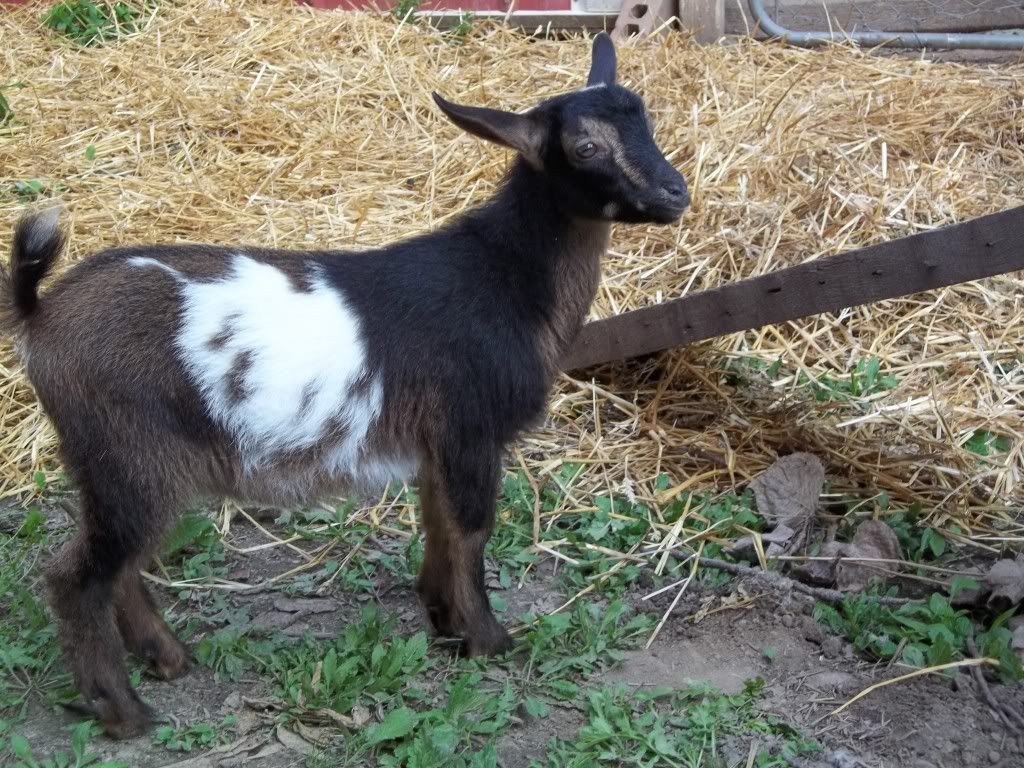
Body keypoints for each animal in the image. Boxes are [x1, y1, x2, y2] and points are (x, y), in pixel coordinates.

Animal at [0, 32, 687, 738]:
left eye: (646, 118)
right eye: (584, 147)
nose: (675, 192)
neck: (504, 277)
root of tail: (39, 315)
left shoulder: (437, 443)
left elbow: (438, 522)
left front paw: (442, 621)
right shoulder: (469, 429)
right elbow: (471, 530)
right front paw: (488, 640)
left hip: (118, 465)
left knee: (121, 567)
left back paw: (169, 661)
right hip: (129, 455)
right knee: (79, 578)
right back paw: (126, 712)